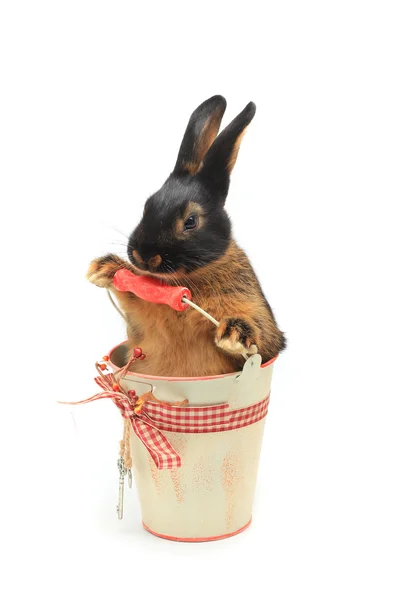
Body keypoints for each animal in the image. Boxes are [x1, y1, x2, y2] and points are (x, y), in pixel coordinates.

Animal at [88, 94, 288, 378]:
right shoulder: (140, 318)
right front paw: (103, 269)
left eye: (191, 221)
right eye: (147, 206)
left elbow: (264, 337)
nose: (144, 255)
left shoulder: (263, 325)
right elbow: (132, 297)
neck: (187, 279)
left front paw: (234, 333)